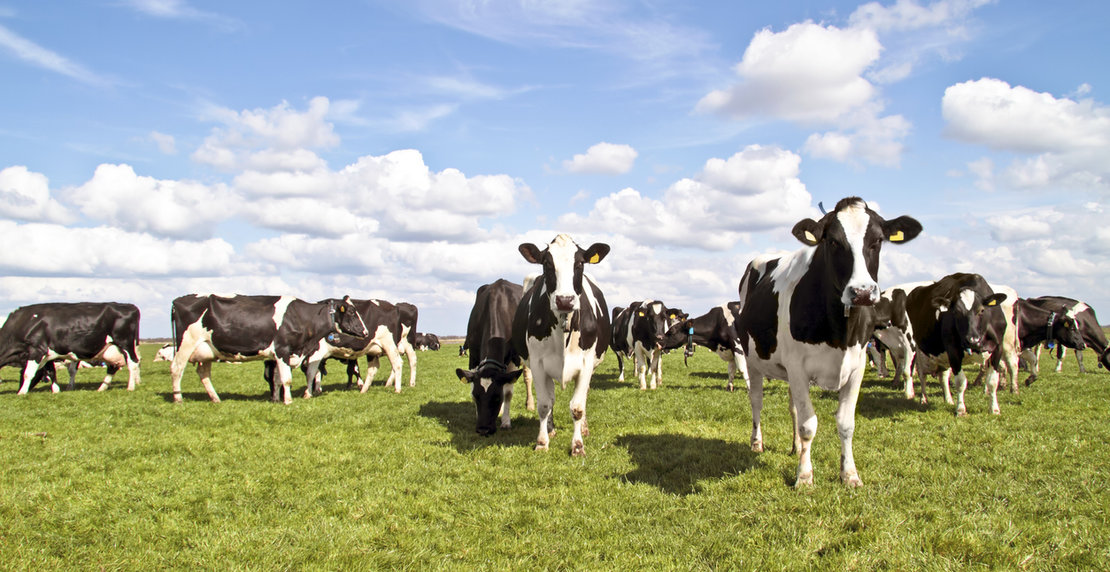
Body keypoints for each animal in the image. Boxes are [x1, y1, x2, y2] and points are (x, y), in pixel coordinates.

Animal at [168, 293, 368, 404]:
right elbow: (286, 379)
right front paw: (288, 401)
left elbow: (277, 379)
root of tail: (177, 301)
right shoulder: (282, 350)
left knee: (203, 374)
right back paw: (178, 399)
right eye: (352, 312)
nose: (366, 332)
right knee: (176, 369)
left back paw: (215, 398)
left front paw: (277, 399)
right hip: (186, 345)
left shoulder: (279, 355)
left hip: (207, 350)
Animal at [455, 279, 532, 437]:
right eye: (476, 396)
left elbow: (508, 392)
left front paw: (506, 422)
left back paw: (530, 405)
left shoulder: (514, 359)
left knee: (528, 377)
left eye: (497, 398)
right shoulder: (473, 355)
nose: (483, 429)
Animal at [512, 233, 612, 457]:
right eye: (547, 264)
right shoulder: (538, 364)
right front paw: (542, 442)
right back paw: (550, 429)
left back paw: (584, 428)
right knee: (550, 399)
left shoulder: (586, 364)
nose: (565, 300)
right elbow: (544, 404)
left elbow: (577, 407)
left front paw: (578, 446)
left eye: (580, 263)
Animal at [737, 197, 919, 488]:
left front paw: (850, 474)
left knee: (793, 407)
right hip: (753, 360)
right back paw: (757, 442)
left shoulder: (856, 367)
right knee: (757, 401)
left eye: (878, 240)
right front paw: (804, 476)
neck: (839, 332)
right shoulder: (798, 367)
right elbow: (809, 425)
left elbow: (845, 423)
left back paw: (796, 447)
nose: (862, 292)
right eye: (832, 241)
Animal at [901, 274, 1016, 415]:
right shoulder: (953, 350)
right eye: (956, 312)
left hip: (943, 356)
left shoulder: (997, 349)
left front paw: (994, 409)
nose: (972, 340)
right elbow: (961, 382)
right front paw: (961, 409)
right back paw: (924, 399)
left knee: (943, 377)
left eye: (981, 310)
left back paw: (948, 399)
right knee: (922, 375)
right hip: (918, 349)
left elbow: (992, 382)